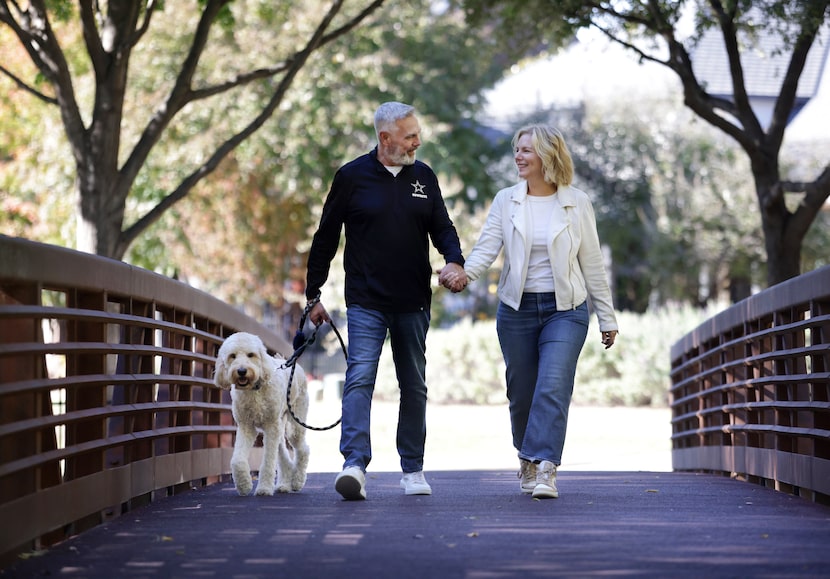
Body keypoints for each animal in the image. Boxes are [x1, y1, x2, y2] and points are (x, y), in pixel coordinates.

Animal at [213, 334, 310, 496]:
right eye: (232, 356)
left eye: (250, 355)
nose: (241, 371)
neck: (254, 389)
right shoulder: (246, 427)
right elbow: (237, 460)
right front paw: (244, 485)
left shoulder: (271, 427)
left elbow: (268, 462)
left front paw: (264, 488)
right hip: (279, 425)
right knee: (283, 453)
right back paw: (284, 484)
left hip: (294, 424)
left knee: (303, 450)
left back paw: (297, 480)